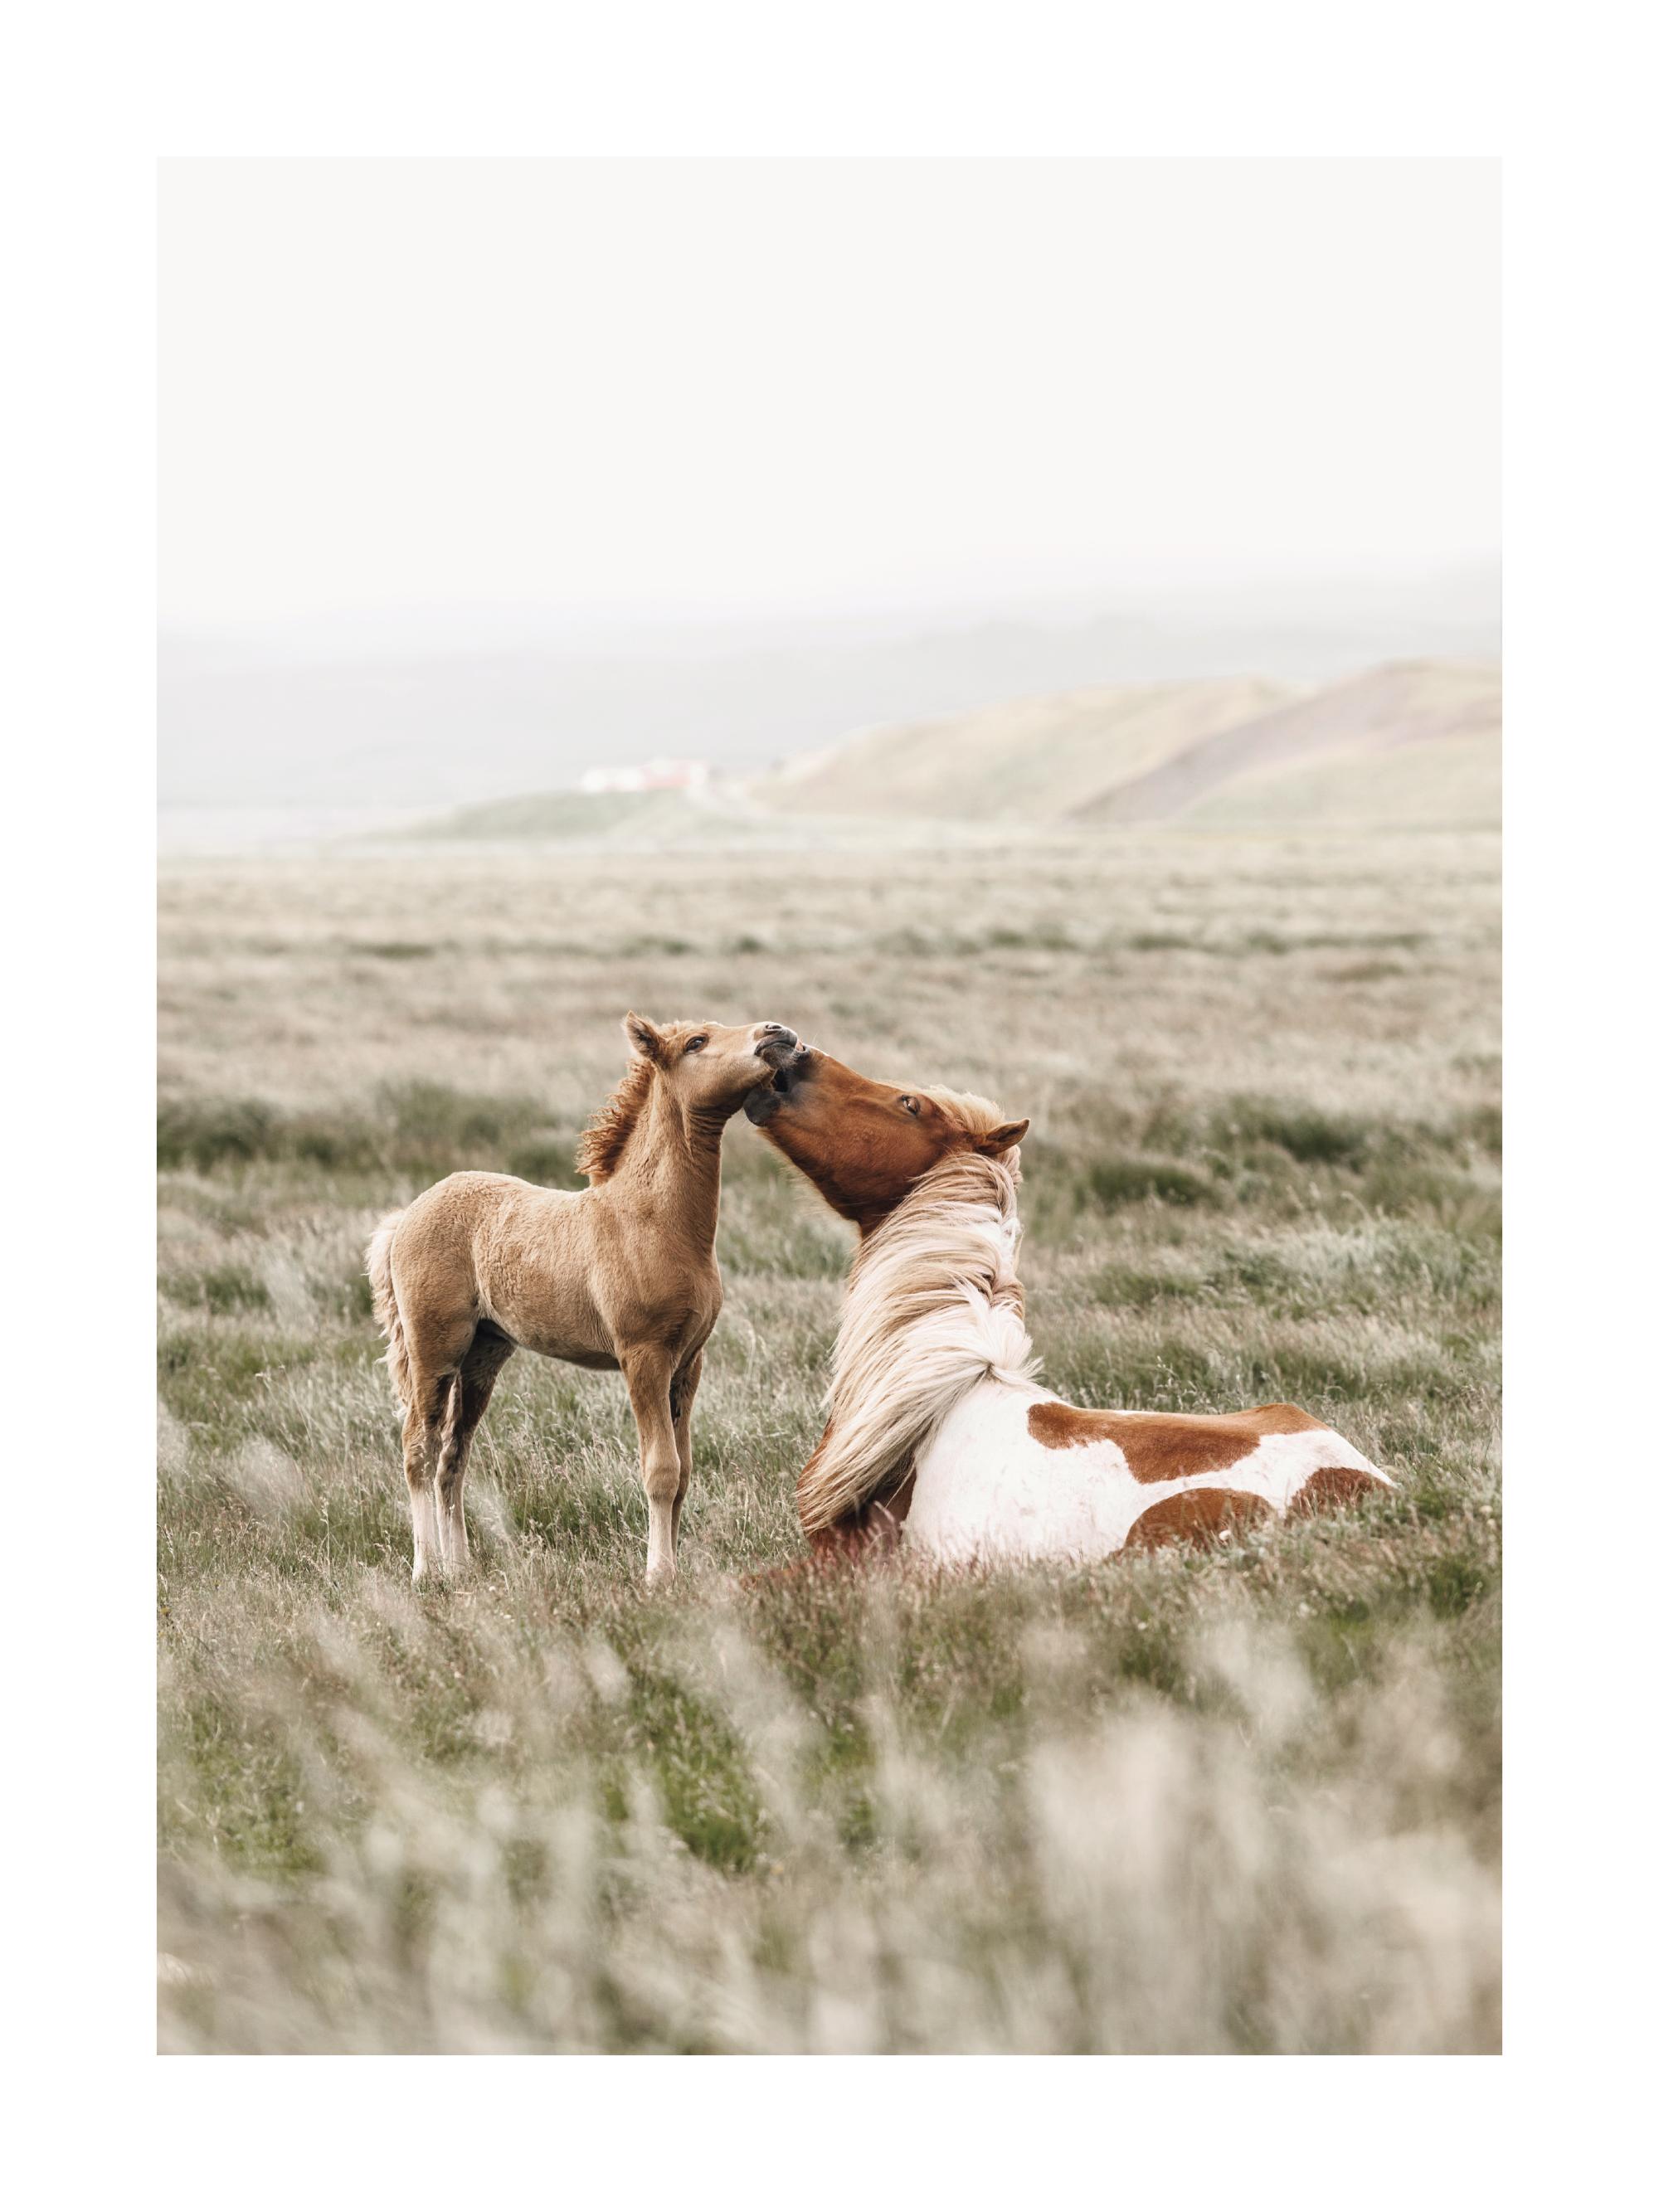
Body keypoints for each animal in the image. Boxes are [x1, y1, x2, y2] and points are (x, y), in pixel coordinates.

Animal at [368, 1014, 800, 1584]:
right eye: (697, 1042)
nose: (778, 1033)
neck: (655, 1222)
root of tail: (406, 1217)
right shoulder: (644, 1357)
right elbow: (661, 1470)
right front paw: (659, 1575)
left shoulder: (689, 1362)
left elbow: (685, 1473)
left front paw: (676, 1568)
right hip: (434, 1348)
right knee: (419, 1446)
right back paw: (427, 1570)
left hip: (484, 1355)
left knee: (452, 1458)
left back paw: (462, 1570)